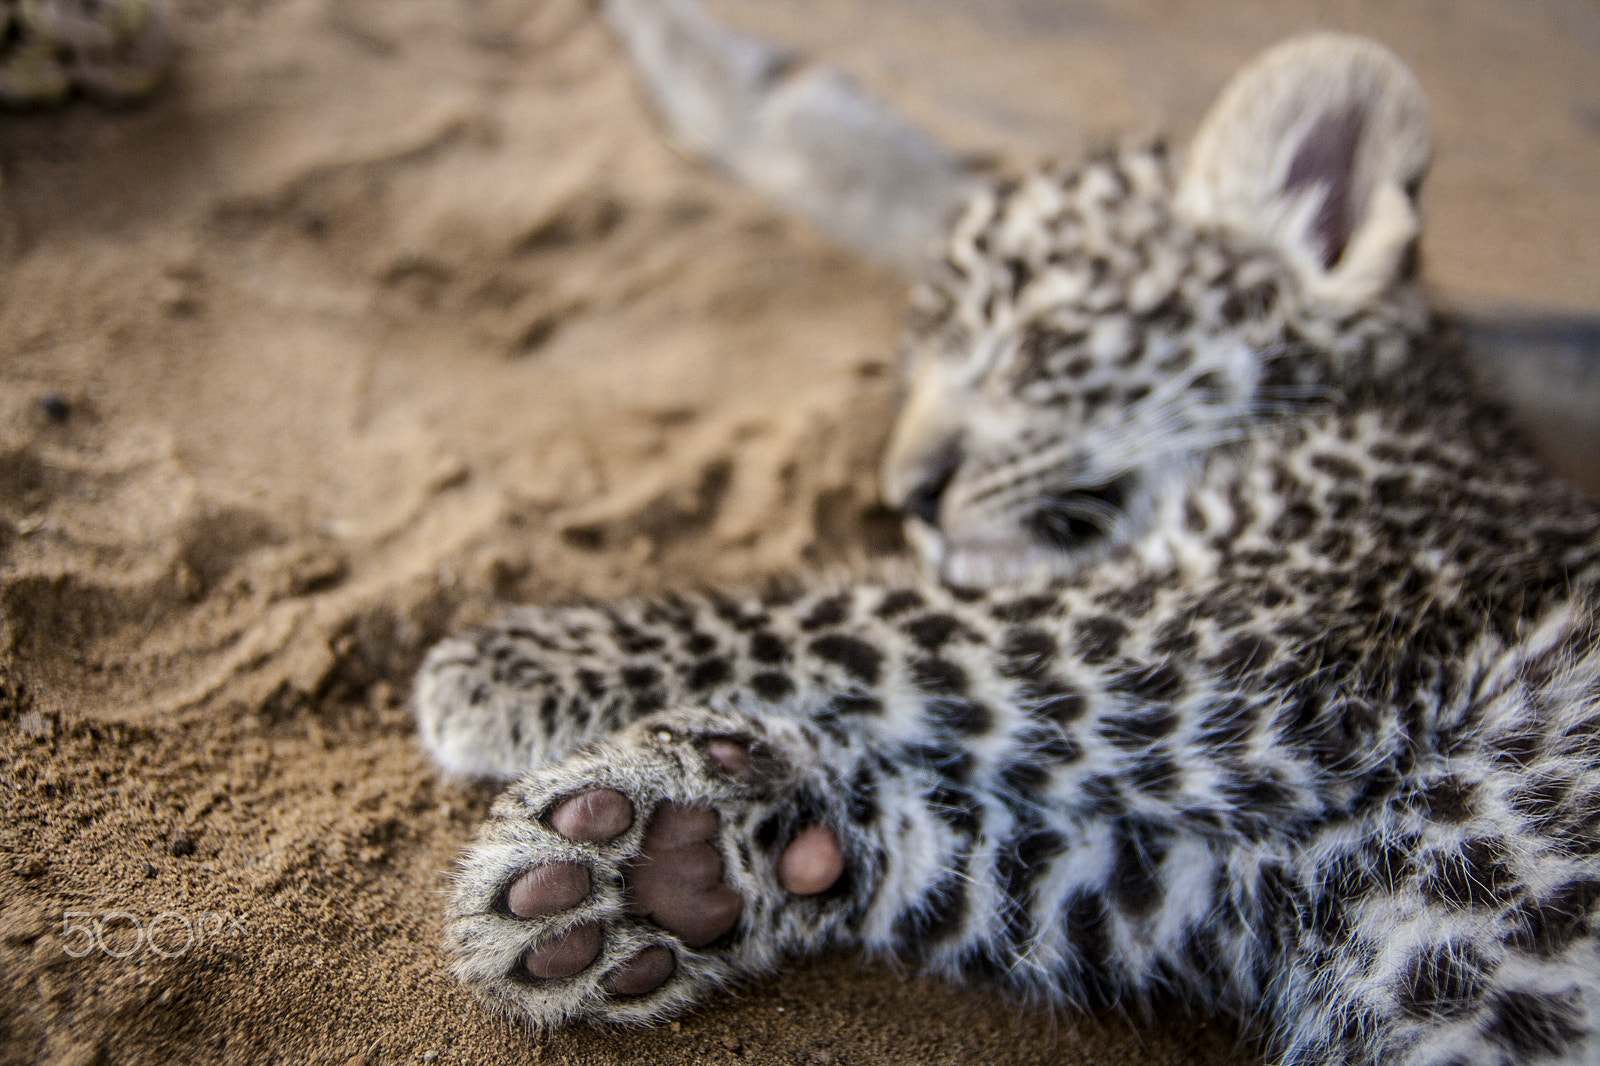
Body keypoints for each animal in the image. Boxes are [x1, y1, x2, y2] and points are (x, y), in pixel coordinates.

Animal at [413, 34, 1600, 1066]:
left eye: (1036, 342)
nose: (910, 496)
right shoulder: (1206, 883)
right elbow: (990, 854)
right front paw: (668, 860)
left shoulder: (1252, 633)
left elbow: (881, 621)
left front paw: (515, 667)